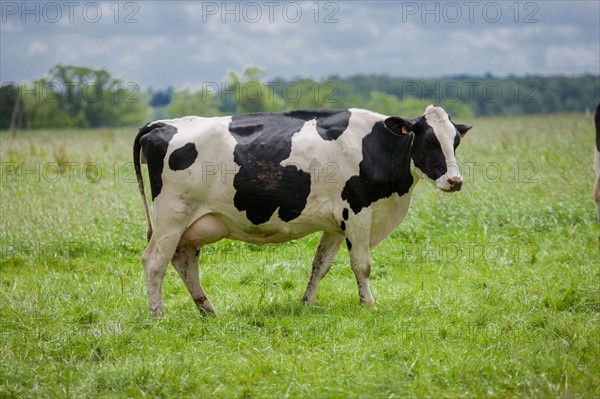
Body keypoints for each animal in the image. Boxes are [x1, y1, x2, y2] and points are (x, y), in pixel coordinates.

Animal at [135, 104, 474, 318]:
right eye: (429, 142)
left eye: (455, 142)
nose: (455, 181)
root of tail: (161, 124)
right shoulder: (358, 212)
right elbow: (361, 265)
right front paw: (369, 304)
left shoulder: (337, 223)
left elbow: (320, 265)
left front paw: (307, 302)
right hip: (171, 216)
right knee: (154, 262)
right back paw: (157, 316)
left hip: (192, 225)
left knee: (184, 262)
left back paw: (208, 310)